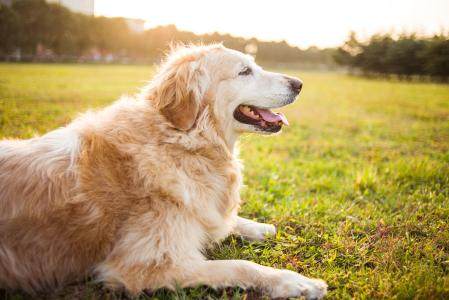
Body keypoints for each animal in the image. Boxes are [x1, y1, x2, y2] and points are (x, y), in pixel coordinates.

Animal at [0, 44, 326, 298]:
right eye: (245, 71)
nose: (299, 83)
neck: (181, 140)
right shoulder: (146, 265)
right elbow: (239, 265)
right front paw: (294, 281)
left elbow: (222, 221)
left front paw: (257, 227)